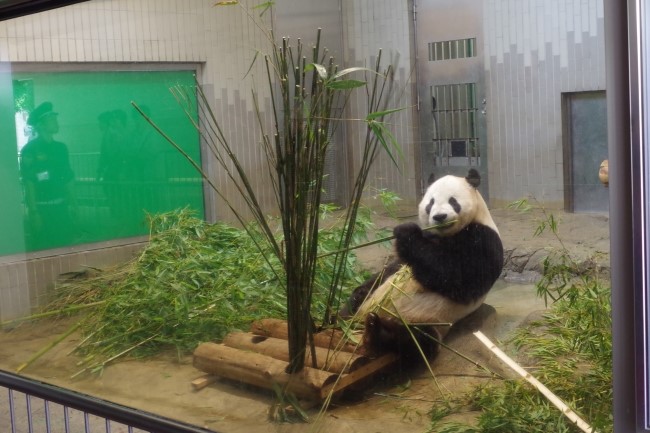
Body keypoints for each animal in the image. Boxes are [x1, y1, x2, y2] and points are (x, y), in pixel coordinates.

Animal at [341, 168, 503, 364]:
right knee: (350, 308)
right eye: (431, 203)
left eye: (453, 201)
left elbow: (458, 278)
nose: (440, 216)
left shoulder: (484, 239)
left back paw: (379, 330)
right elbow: (393, 268)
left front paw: (405, 232)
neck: (449, 233)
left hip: (428, 319)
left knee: (416, 341)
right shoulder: (425, 242)